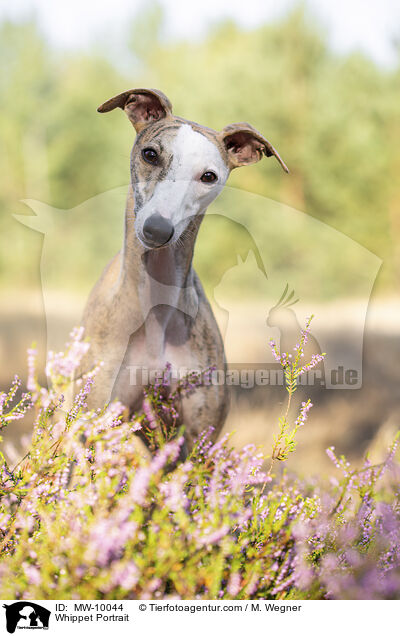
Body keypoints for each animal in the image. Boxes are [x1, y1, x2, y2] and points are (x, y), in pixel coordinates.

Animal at [79, 87, 288, 450]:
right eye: (150, 154)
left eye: (209, 176)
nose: (157, 230)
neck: (156, 307)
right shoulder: (97, 418)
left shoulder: (199, 436)